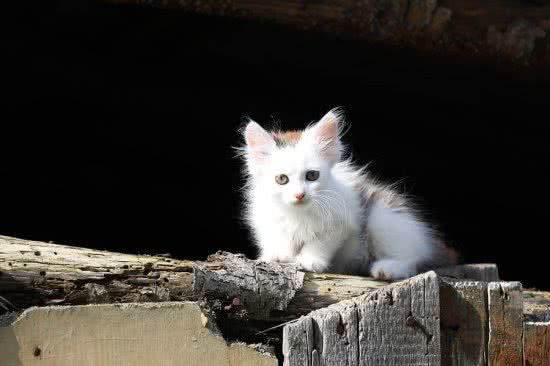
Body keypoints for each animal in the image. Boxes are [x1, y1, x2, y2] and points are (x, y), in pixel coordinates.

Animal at [239, 108, 460, 280]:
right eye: (282, 179)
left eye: (312, 175)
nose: (299, 194)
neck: (299, 213)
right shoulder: (267, 219)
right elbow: (278, 237)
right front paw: (278, 255)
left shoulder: (342, 222)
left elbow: (321, 241)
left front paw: (310, 260)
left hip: (383, 217)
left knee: (412, 261)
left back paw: (387, 268)